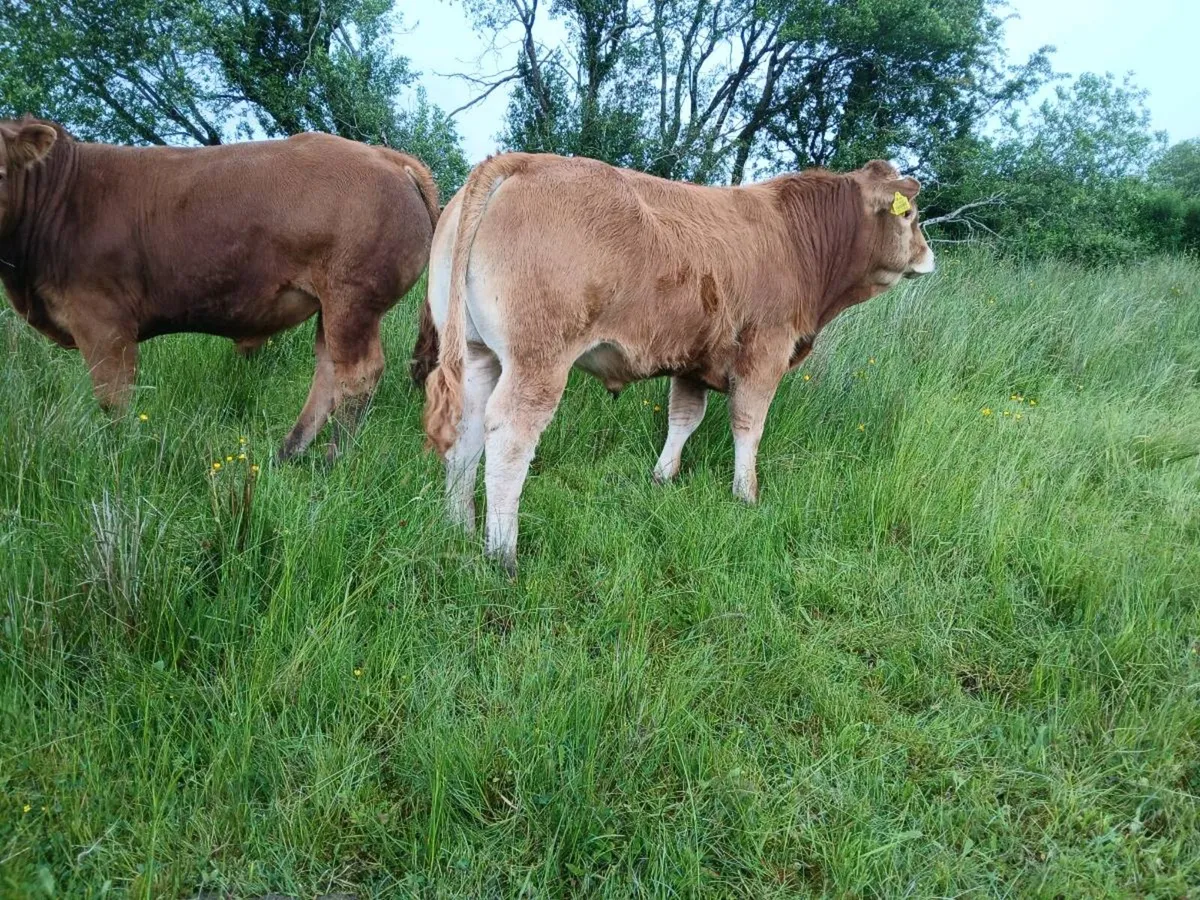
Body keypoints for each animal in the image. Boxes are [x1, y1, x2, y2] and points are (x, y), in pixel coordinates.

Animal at [0, 116, 439, 461]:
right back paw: (288, 452)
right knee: (328, 371)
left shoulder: (102, 322)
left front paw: (120, 456)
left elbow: (114, 400)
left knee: (358, 374)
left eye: (1, 171)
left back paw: (332, 459)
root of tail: (386, 156)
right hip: (332, 307)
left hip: (352, 301)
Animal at [421, 152, 935, 572]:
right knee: (510, 435)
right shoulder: (765, 352)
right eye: (910, 215)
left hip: (475, 353)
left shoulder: (694, 361)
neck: (795, 239)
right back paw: (502, 554)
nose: (929, 256)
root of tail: (522, 160)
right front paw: (746, 495)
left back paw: (458, 526)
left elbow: (684, 418)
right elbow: (749, 425)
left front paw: (662, 477)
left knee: (467, 429)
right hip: (539, 361)